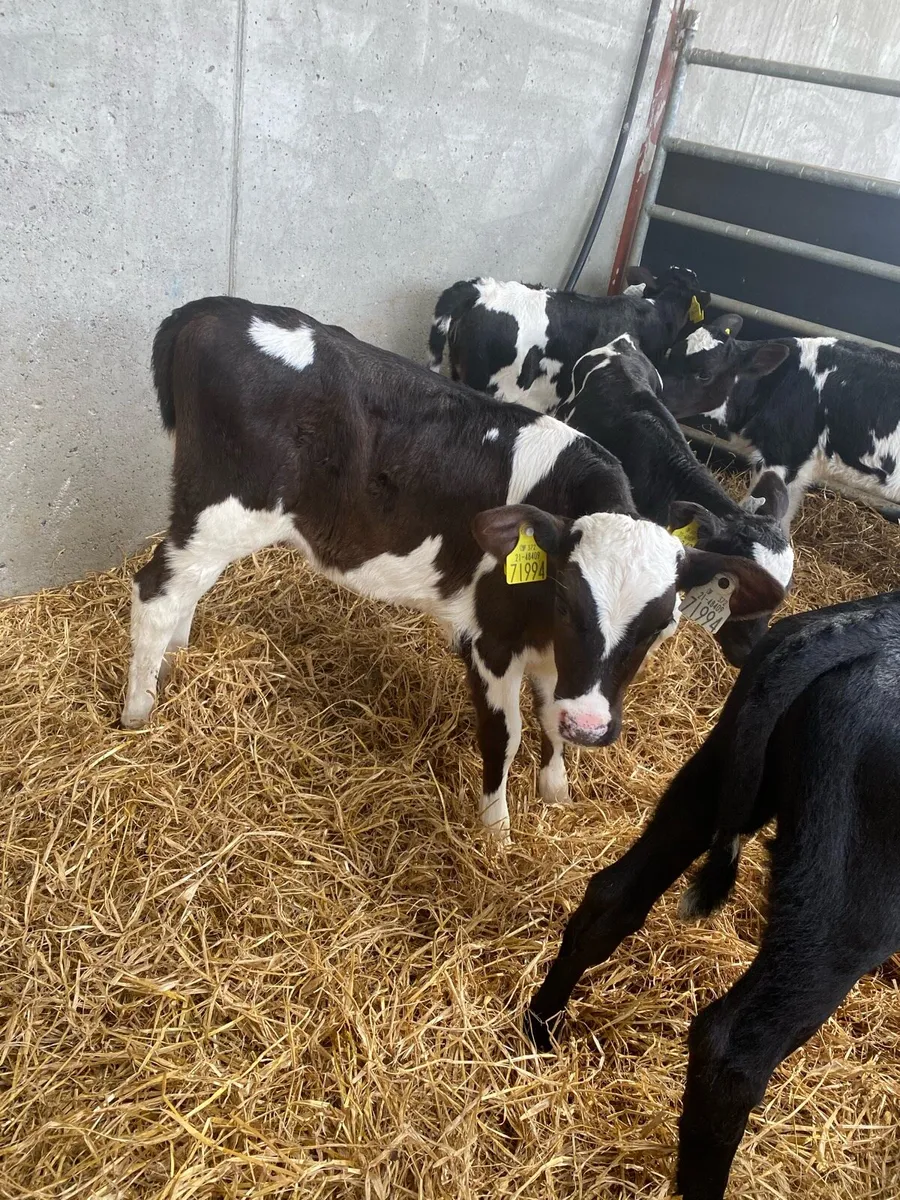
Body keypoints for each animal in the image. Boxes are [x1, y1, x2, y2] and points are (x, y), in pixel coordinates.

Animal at [525, 591, 900, 1199]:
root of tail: (854, 632)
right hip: (854, 905)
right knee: (735, 1050)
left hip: (709, 776)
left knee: (610, 900)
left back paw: (538, 1031)